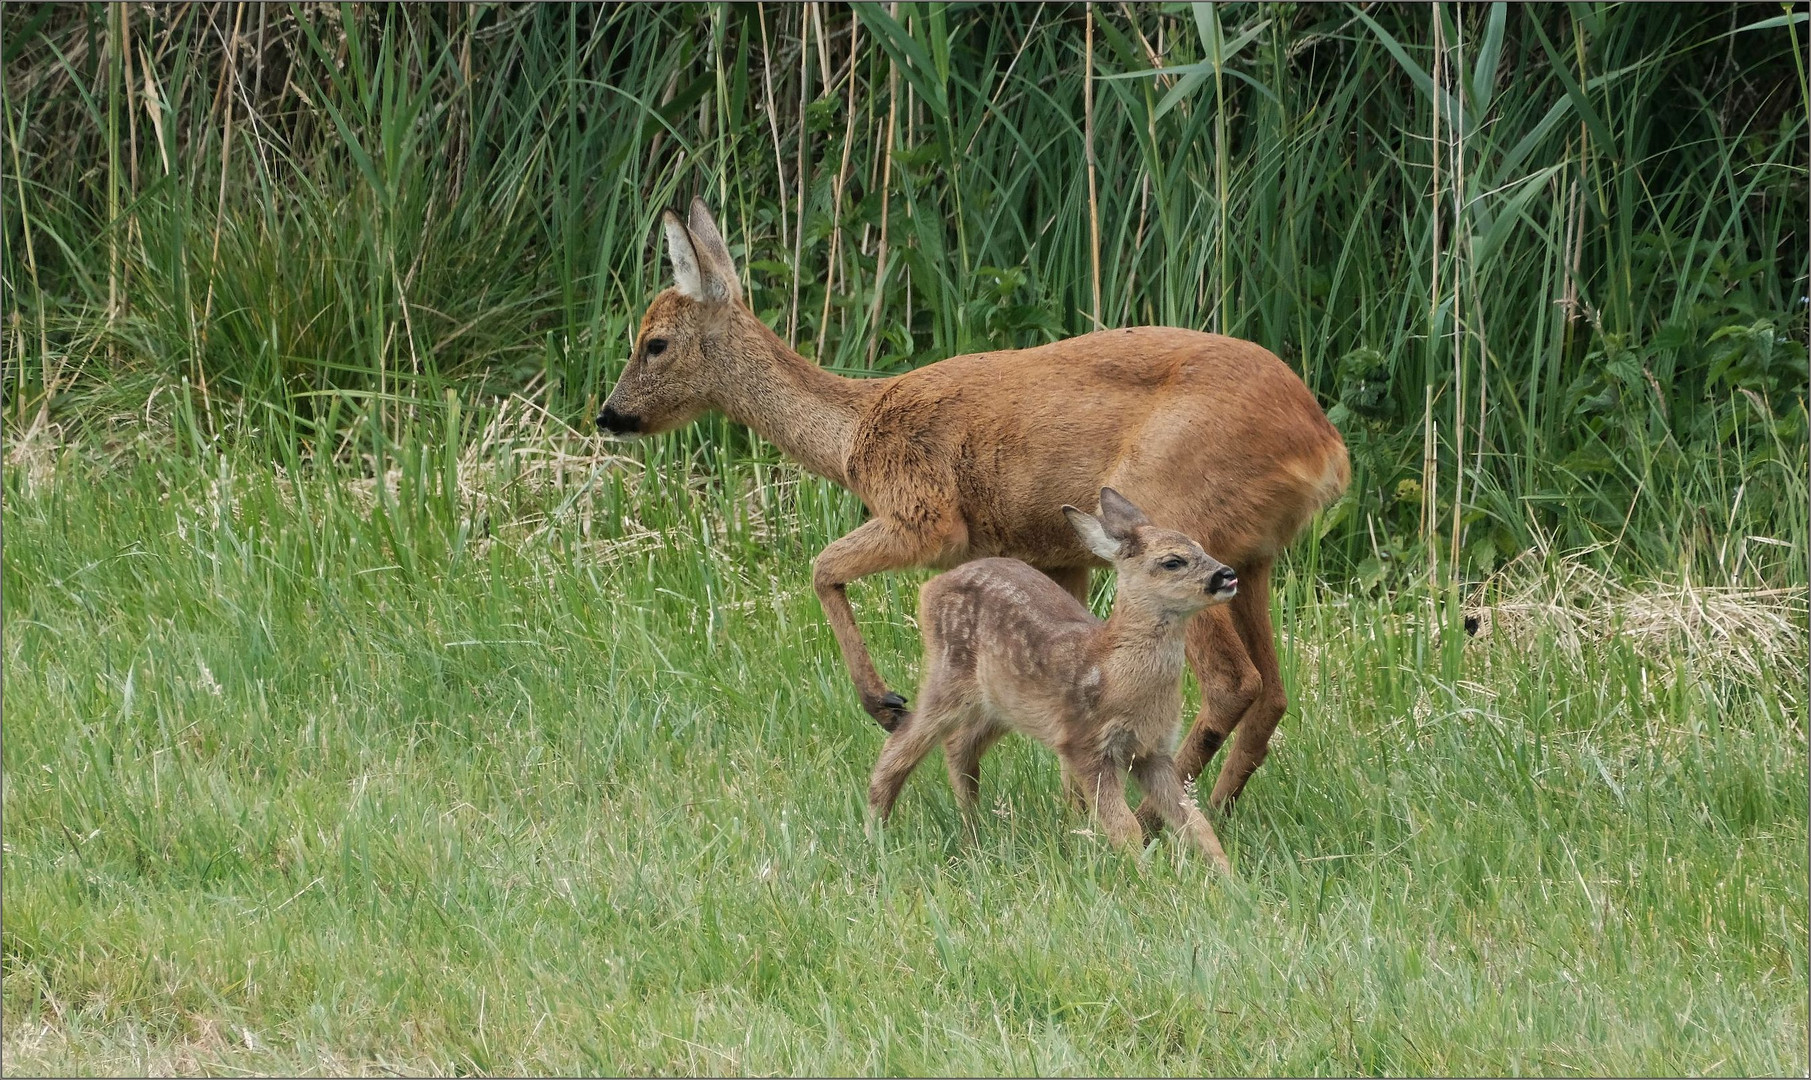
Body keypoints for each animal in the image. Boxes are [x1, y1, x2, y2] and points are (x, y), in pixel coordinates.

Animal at [601, 200, 1354, 811]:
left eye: (654, 343)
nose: (610, 415)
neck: (853, 434)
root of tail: (1325, 449)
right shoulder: (1058, 555)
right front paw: (1070, 804)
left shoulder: (927, 513)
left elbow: (821, 565)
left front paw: (884, 704)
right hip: (1251, 557)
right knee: (1272, 690)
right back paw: (1209, 806)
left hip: (1175, 514)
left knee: (1232, 681)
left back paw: (1154, 815)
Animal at [869, 485, 1238, 873]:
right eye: (1173, 561)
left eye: (1200, 545)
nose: (1226, 574)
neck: (1112, 674)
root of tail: (929, 588)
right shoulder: (1083, 743)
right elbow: (1125, 825)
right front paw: (1142, 874)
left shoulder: (1153, 750)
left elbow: (1194, 821)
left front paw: (1226, 875)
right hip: (949, 676)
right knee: (901, 743)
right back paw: (877, 834)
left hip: (1003, 705)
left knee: (959, 744)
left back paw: (973, 834)